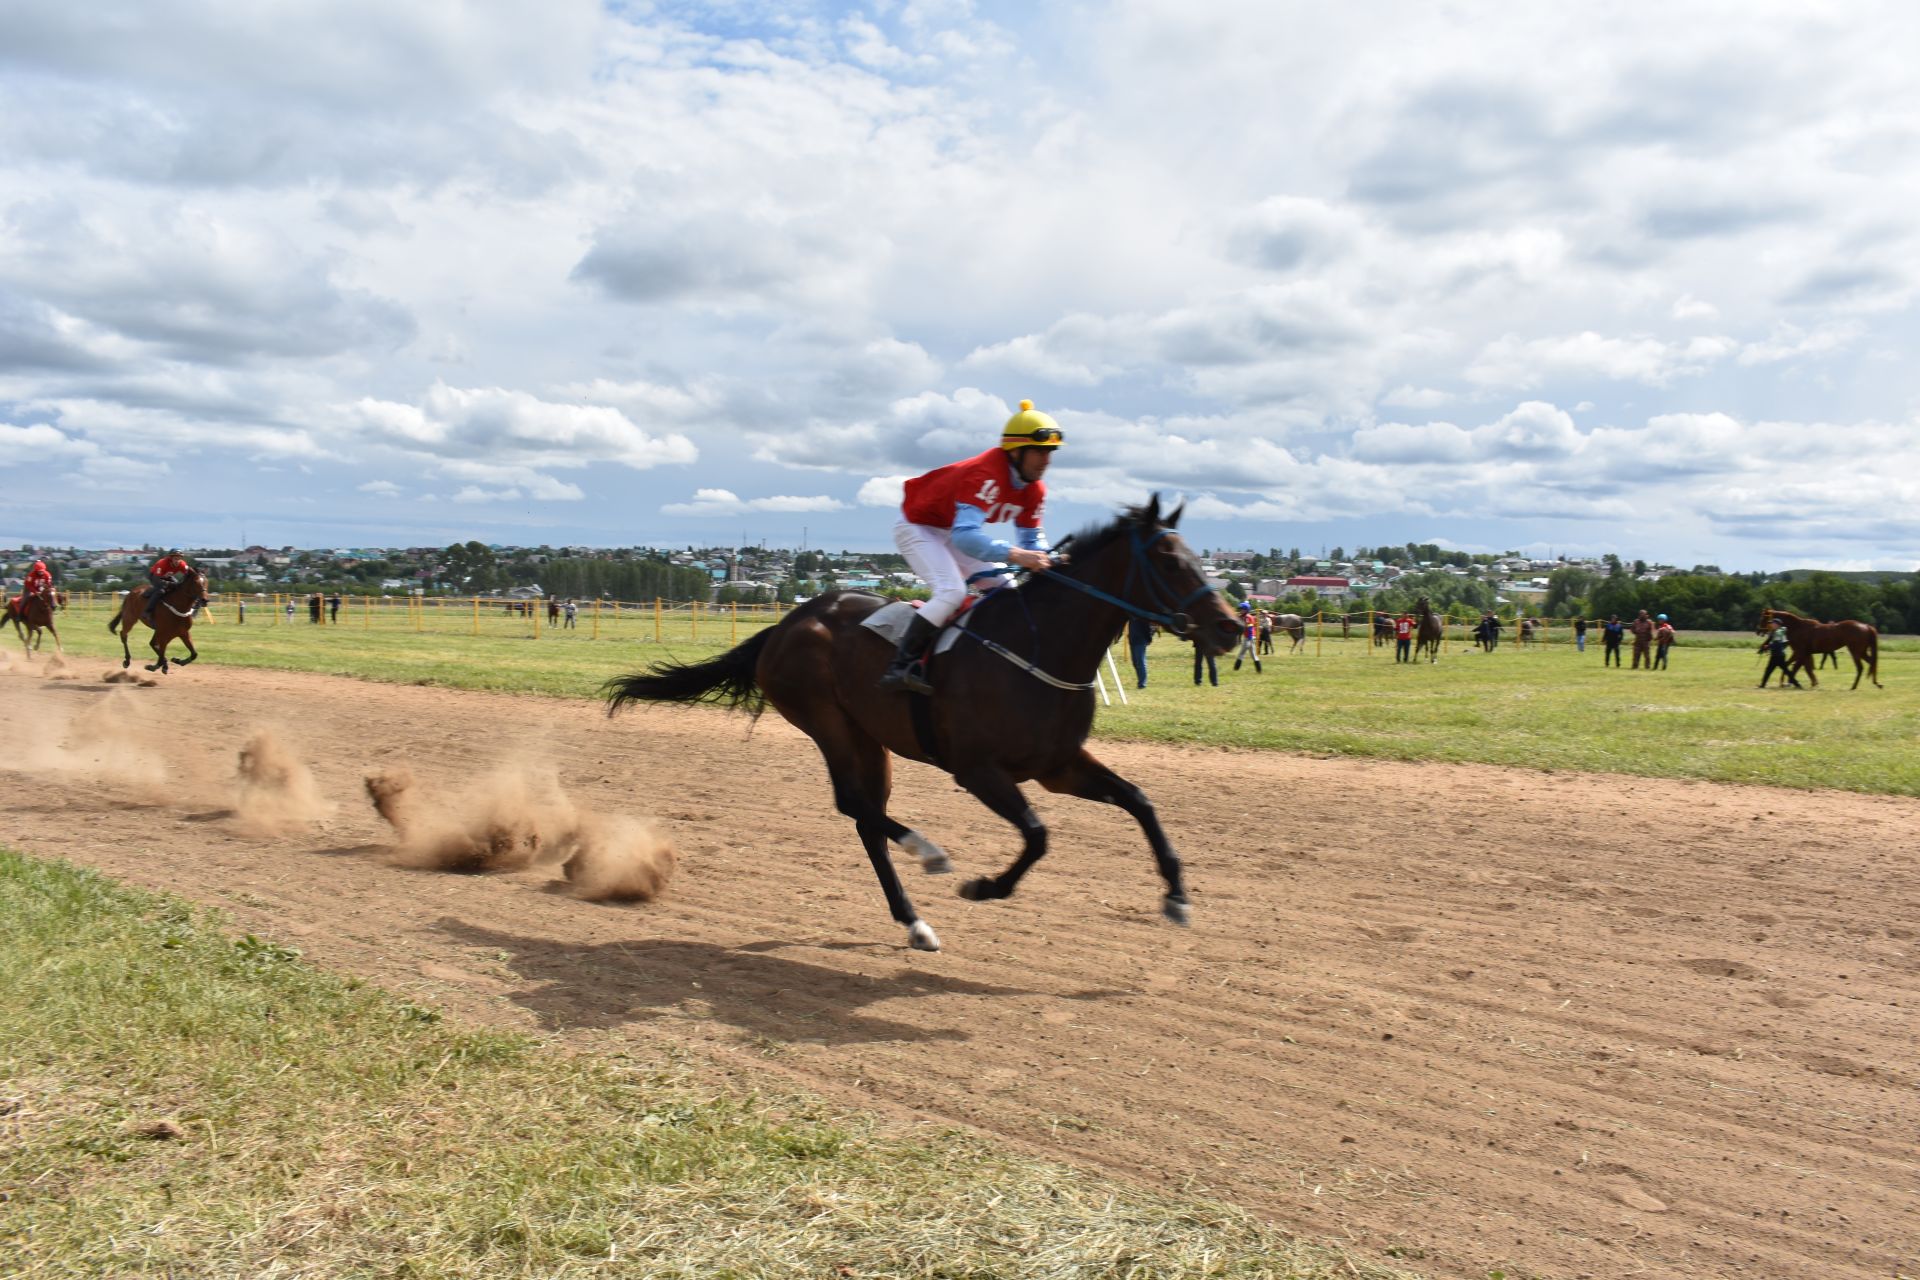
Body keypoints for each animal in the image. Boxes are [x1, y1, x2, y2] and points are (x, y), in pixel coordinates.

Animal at [602, 498, 1244, 951]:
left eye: (1199, 558)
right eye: (1169, 560)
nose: (1231, 627)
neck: (1039, 648)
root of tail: (789, 622)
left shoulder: (1058, 765)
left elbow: (1140, 801)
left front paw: (1177, 896)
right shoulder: (978, 769)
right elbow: (1038, 834)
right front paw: (986, 886)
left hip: (869, 736)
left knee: (864, 816)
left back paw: (916, 909)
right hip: (830, 723)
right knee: (855, 807)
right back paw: (926, 864)